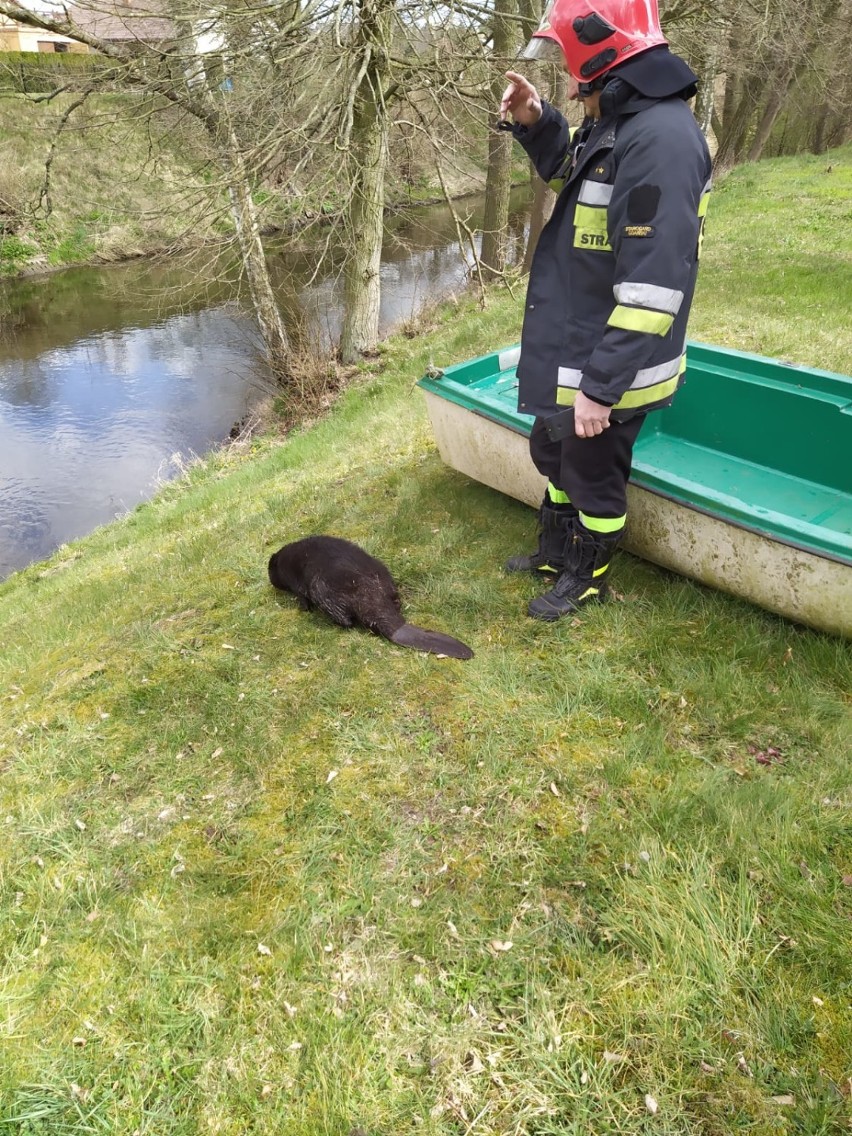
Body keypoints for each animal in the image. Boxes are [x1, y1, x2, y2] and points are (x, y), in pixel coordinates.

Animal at [266, 536, 474, 663]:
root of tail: (398, 628)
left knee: (346, 621)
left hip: (324, 590)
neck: (285, 560)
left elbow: (302, 598)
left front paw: (301, 608)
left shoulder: (297, 584)